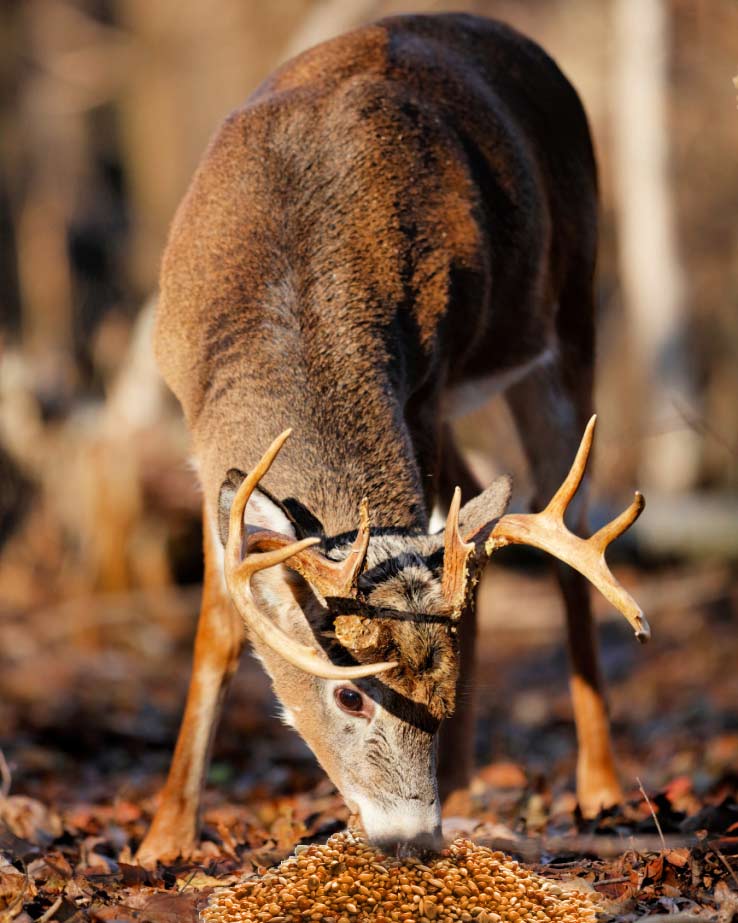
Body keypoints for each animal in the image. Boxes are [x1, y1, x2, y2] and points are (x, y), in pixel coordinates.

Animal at [136, 12, 648, 864]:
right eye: (352, 693)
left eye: (442, 693)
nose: (413, 837)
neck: (289, 293)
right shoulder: (195, 427)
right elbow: (216, 632)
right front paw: (164, 839)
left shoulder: (429, 381)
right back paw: (480, 780)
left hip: (566, 319)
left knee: (565, 534)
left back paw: (600, 785)